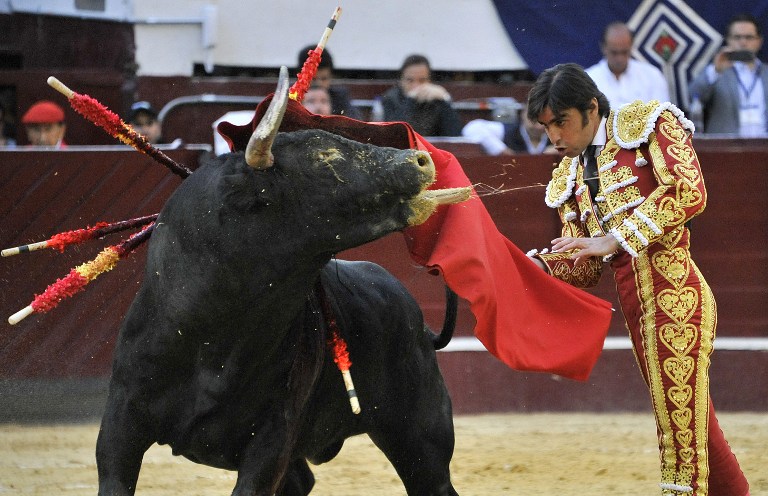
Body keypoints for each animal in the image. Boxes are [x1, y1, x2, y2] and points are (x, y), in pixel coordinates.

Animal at [96, 67, 468, 496]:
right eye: (326, 156)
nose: (421, 159)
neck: (214, 332)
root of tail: (419, 324)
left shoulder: (272, 437)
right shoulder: (120, 425)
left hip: (421, 441)